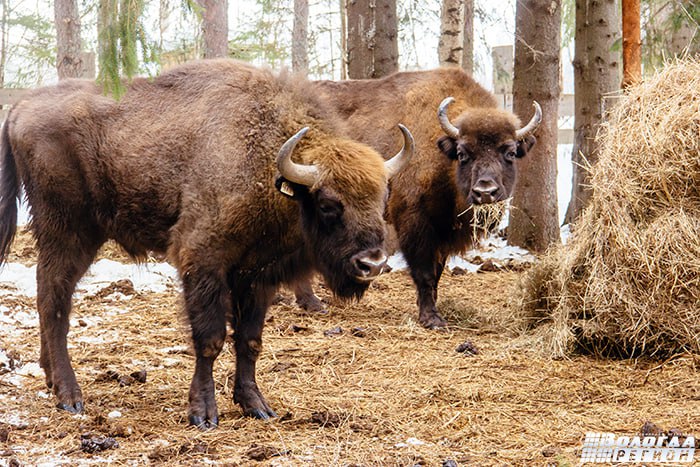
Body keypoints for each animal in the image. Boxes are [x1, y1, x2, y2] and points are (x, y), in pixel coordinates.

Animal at [0, 60, 412, 430]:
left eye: (382, 198)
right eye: (328, 204)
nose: (373, 263)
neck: (266, 165)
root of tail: (21, 106)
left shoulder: (257, 275)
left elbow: (249, 340)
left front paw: (256, 406)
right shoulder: (203, 262)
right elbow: (210, 339)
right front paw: (203, 414)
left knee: (49, 296)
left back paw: (51, 379)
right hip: (67, 231)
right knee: (54, 299)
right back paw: (70, 396)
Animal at [294, 68, 540, 330]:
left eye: (510, 152)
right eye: (463, 153)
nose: (485, 191)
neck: (442, 156)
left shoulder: (442, 234)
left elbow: (437, 274)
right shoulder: (415, 224)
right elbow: (424, 273)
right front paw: (431, 318)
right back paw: (311, 302)